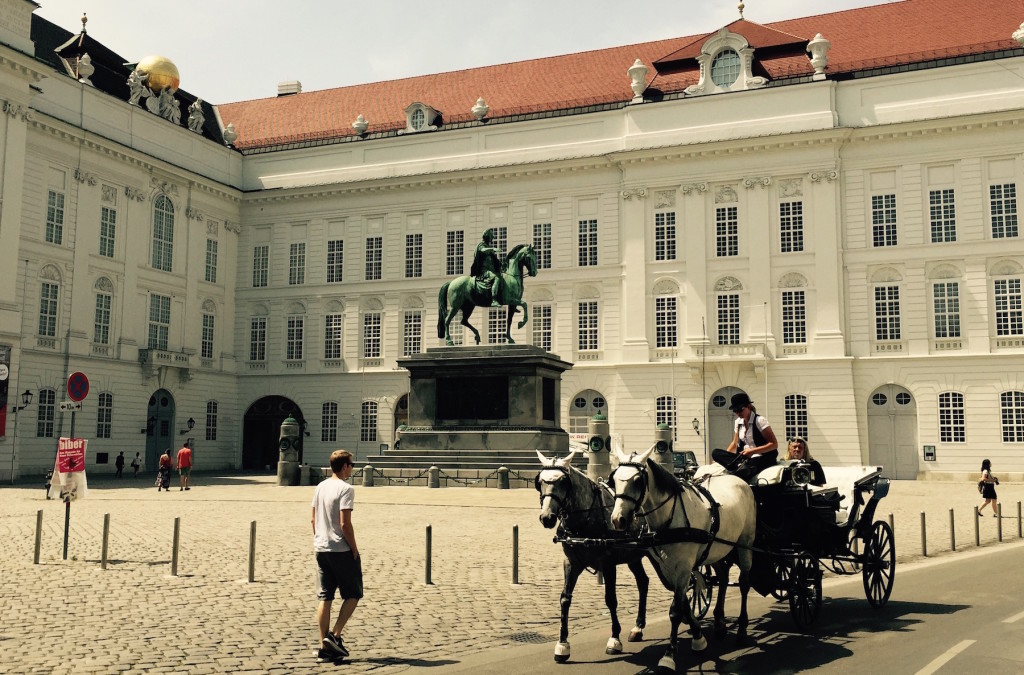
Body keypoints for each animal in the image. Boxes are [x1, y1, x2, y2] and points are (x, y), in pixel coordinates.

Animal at [606, 446, 761, 671]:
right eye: (614, 479)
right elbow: (683, 604)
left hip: (745, 544)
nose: (618, 520)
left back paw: (741, 629)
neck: (669, 518)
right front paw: (698, 637)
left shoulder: (683, 568)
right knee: (723, 578)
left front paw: (669, 655)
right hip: (716, 548)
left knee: (744, 583)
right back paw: (720, 623)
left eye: (637, 480)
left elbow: (676, 611)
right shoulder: (667, 567)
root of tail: (738, 479)